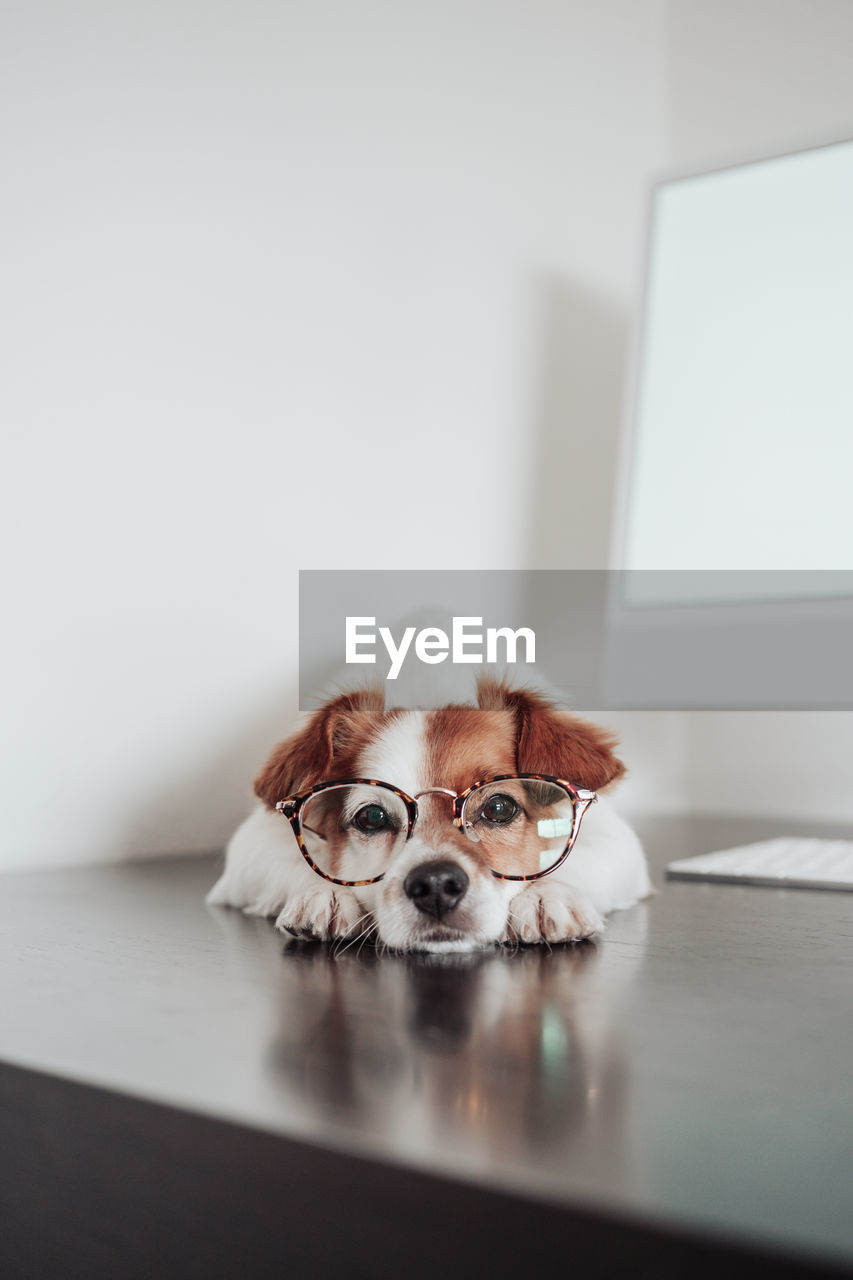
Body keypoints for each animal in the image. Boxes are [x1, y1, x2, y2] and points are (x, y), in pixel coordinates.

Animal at [207, 680, 650, 952]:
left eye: (499, 808)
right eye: (372, 817)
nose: (436, 884)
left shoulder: (616, 837)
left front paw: (547, 894)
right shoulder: (253, 842)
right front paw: (324, 892)